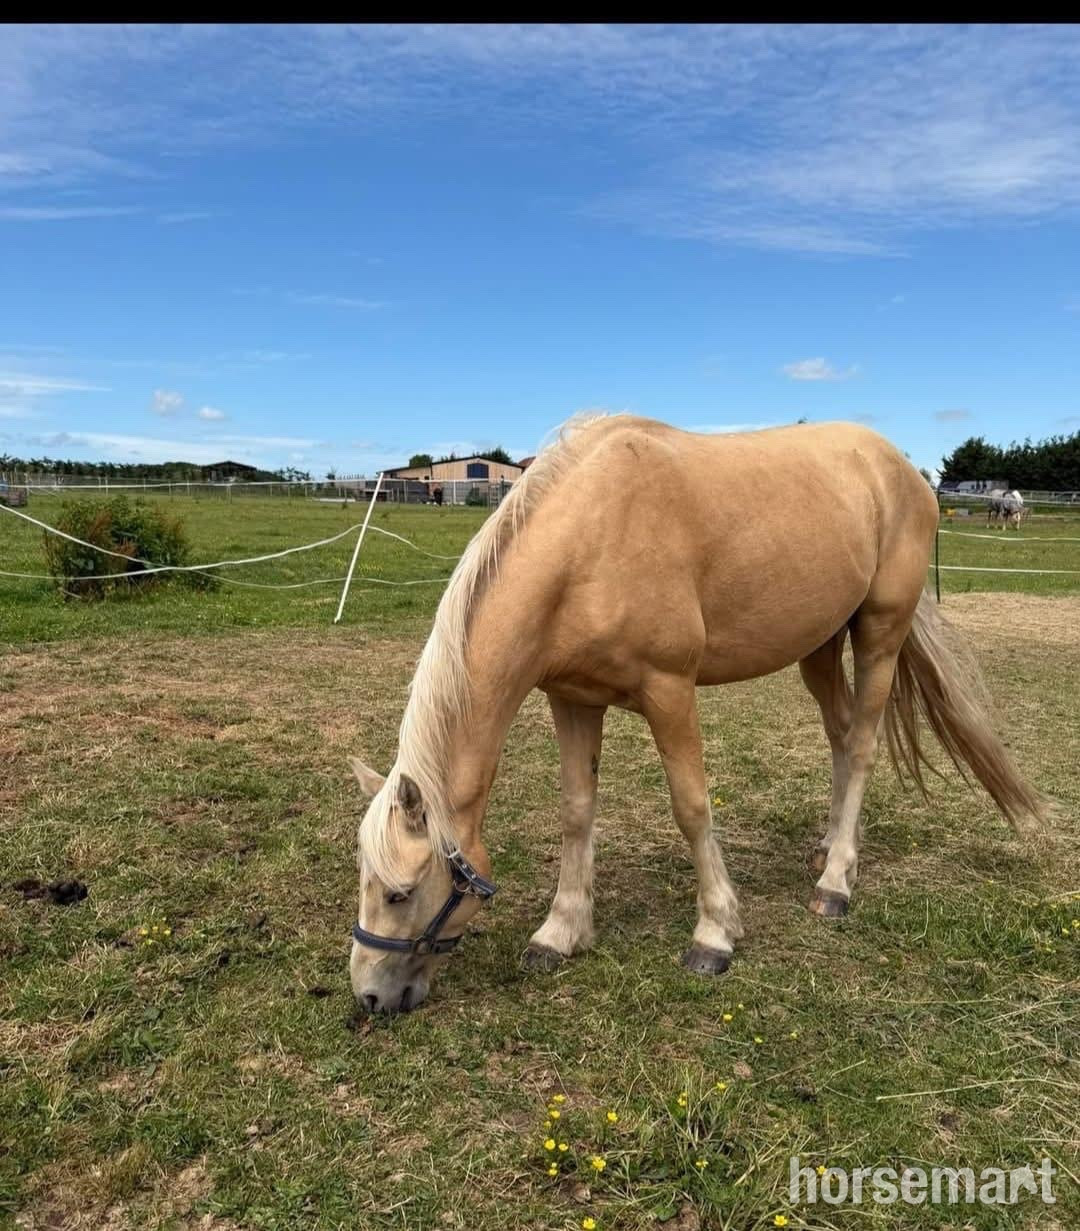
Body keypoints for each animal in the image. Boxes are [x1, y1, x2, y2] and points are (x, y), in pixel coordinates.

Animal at [348, 415, 1044, 1014]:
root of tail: (901, 468)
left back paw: (836, 883)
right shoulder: (573, 698)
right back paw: (829, 851)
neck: (589, 542)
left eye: (400, 892)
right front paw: (560, 932)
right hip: (819, 645)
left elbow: (691, 807)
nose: (370, 997)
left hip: (879, 631)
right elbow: (576, 811)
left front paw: (714, 934)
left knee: (865, 743)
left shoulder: (669, 691)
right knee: (842, 736)